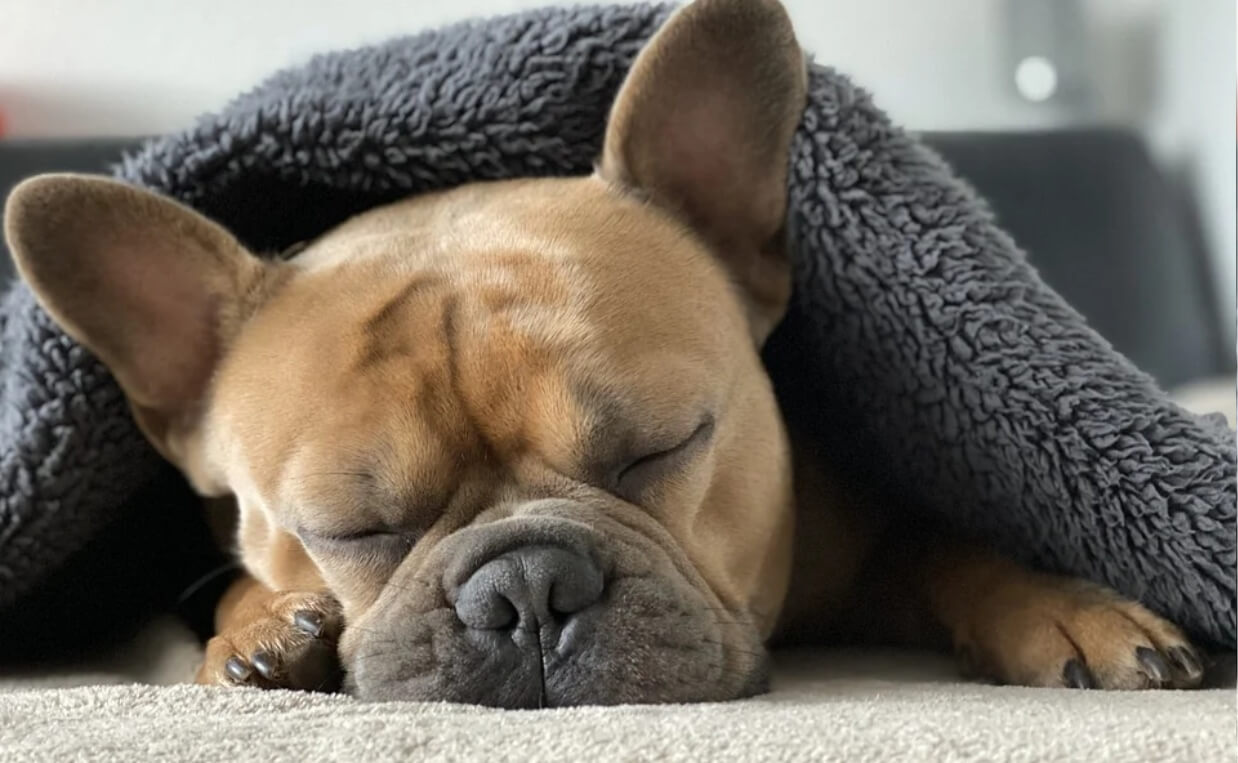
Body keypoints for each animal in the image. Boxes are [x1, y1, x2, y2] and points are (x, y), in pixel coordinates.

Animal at [0, 0, 1198, 703]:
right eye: (350, 527)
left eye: (661, 448)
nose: (526, 586)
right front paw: (257, 628)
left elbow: (946, 540)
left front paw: (1062, 601)